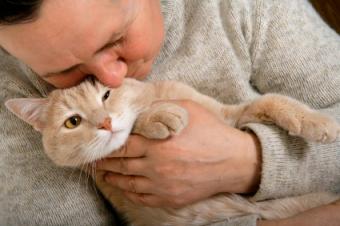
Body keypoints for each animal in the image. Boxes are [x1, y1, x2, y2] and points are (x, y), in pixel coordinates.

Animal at [5, 78, 340, 226]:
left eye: (106, 94)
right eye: (72, 122)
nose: (105, 122)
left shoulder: (231, 117)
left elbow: (270, 99)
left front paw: (318, 121)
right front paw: (158, 117)